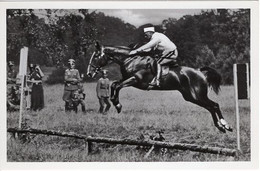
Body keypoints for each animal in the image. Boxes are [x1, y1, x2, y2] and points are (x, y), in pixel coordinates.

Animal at [86, 42, 233, 133]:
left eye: (96, 56)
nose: (89, 73)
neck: (130, 59)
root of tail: (200, 72)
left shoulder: (135, 80)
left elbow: (117, 86)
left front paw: (117, 105)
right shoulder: (127, 79)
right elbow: (114, 84)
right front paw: (116, 103)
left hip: (197, 95)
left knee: (214, 105)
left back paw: (225, 125)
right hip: (191, 97)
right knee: (211, 107)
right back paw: (221, 127)